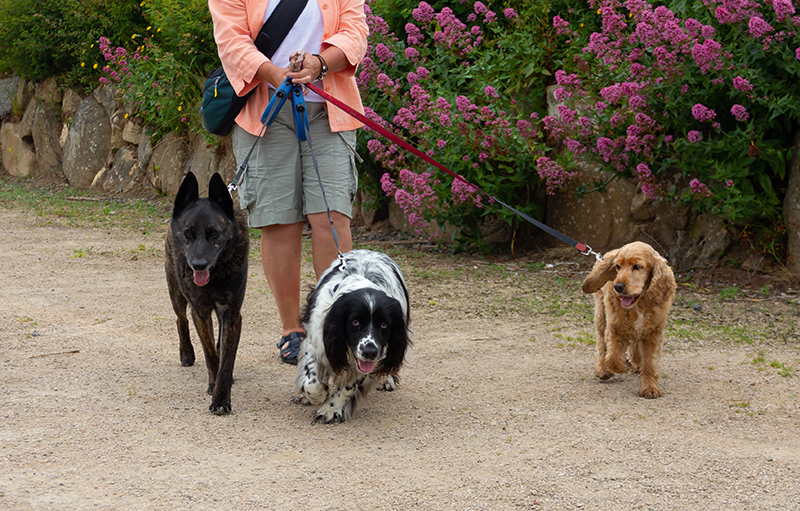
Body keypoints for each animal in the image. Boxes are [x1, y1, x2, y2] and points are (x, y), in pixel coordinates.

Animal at [164, 171, 249, 414]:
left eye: (214, 234)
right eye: (188, 234)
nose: (198, 265)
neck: (215, 274)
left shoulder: (231, 315)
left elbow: (226, 359)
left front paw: (221, 399)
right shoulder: (200, 312)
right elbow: (210, 352)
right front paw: (213, 384)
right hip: (176, 293)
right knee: (180, 319)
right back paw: (186, 352)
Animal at [295, 249, 411, 423]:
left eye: (384, 324)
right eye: (355, 322)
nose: (369, 352)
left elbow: (349, 387)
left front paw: (330, 409)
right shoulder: (316, 343)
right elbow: (312, 383)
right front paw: (317, 395)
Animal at [582, 241, 676, 398]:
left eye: (637, 266)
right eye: (617, 266)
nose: (617, 286)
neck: (638, 305)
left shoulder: (654, 333)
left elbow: (650, 363)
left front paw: (650, 388)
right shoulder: (614, 328)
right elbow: (612, 357)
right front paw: (623, 364)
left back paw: (637, 363)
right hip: (601, 315)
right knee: (601, 343)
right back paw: (602, 369)